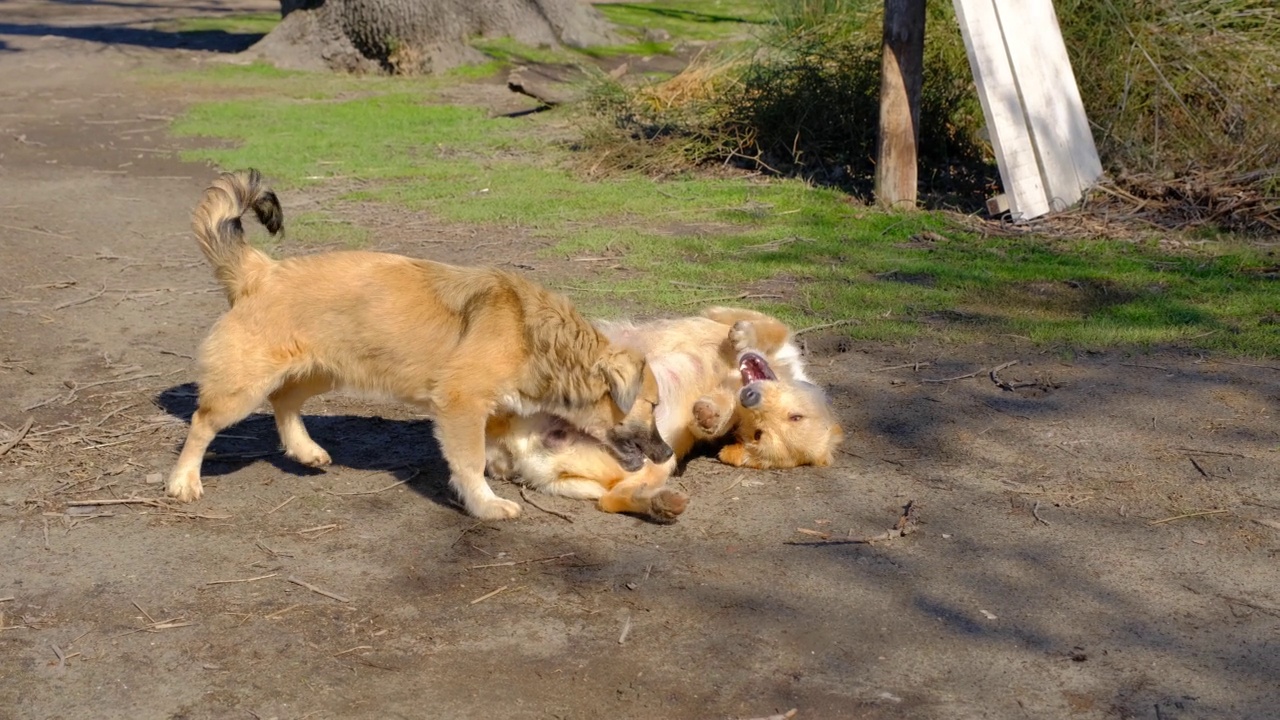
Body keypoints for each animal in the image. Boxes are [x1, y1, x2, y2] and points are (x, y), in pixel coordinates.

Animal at [167, 170, 670, 517]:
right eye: (652, 405)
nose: (667, 454)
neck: (536, 335)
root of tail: (259, 270)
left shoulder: (488, 408)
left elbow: (487, 451)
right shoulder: (461, 405)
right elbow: (469, 462)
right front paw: (486, 505)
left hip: (322, 370)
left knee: (285, 401)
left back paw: (305, 450)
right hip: (242, 387)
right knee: (203, 422)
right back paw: (183, 481)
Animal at [483, 304, 844, 517]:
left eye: (759, 434)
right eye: (795, 415)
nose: (751, 397)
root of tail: (518, 459)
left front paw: (712, 412)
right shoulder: (734, 320)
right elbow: (767, 325)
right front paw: (744, 337)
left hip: (654, 463)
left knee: (610, 501)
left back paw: (661, 503)